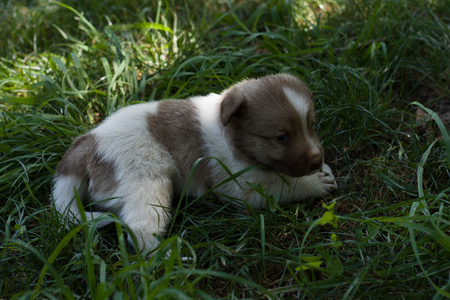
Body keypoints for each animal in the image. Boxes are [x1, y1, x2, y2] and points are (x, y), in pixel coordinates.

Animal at [51, 74, 336, 252]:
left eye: (311, 124)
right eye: (281, 137)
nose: (316, 160)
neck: (232, 135)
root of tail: (90, 140)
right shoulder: (240, 188)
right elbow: (283, 185)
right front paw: (313, 183)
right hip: (146, 181)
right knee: (140, 228)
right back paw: (165, 259)